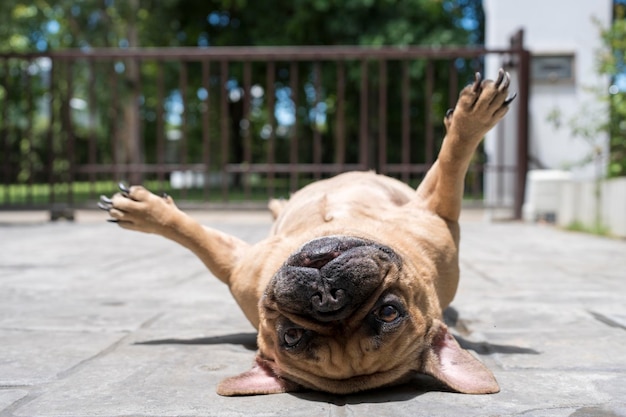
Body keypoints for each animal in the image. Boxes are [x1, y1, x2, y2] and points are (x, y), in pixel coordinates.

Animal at [100, 69, 516, 396]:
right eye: (292, 337)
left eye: (389, 312)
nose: (329, 298)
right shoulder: (238, 266)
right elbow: (193, 234)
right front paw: (146, 212)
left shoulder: (437, 212)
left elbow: (451, 163)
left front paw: (472, 116)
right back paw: (276, 203)